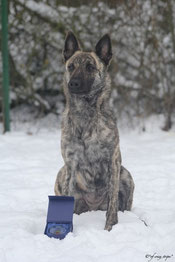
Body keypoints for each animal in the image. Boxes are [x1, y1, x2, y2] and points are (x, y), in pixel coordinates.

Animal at [54, 31, 134, 230]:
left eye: (90, 67)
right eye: (71, 66)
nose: (73, 83)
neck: (85, 114)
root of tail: (93, 207)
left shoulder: (112, 162)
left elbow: (112, 205)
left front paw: (109, 229)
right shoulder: (70, 164)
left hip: (126, 175)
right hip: (61, 173)